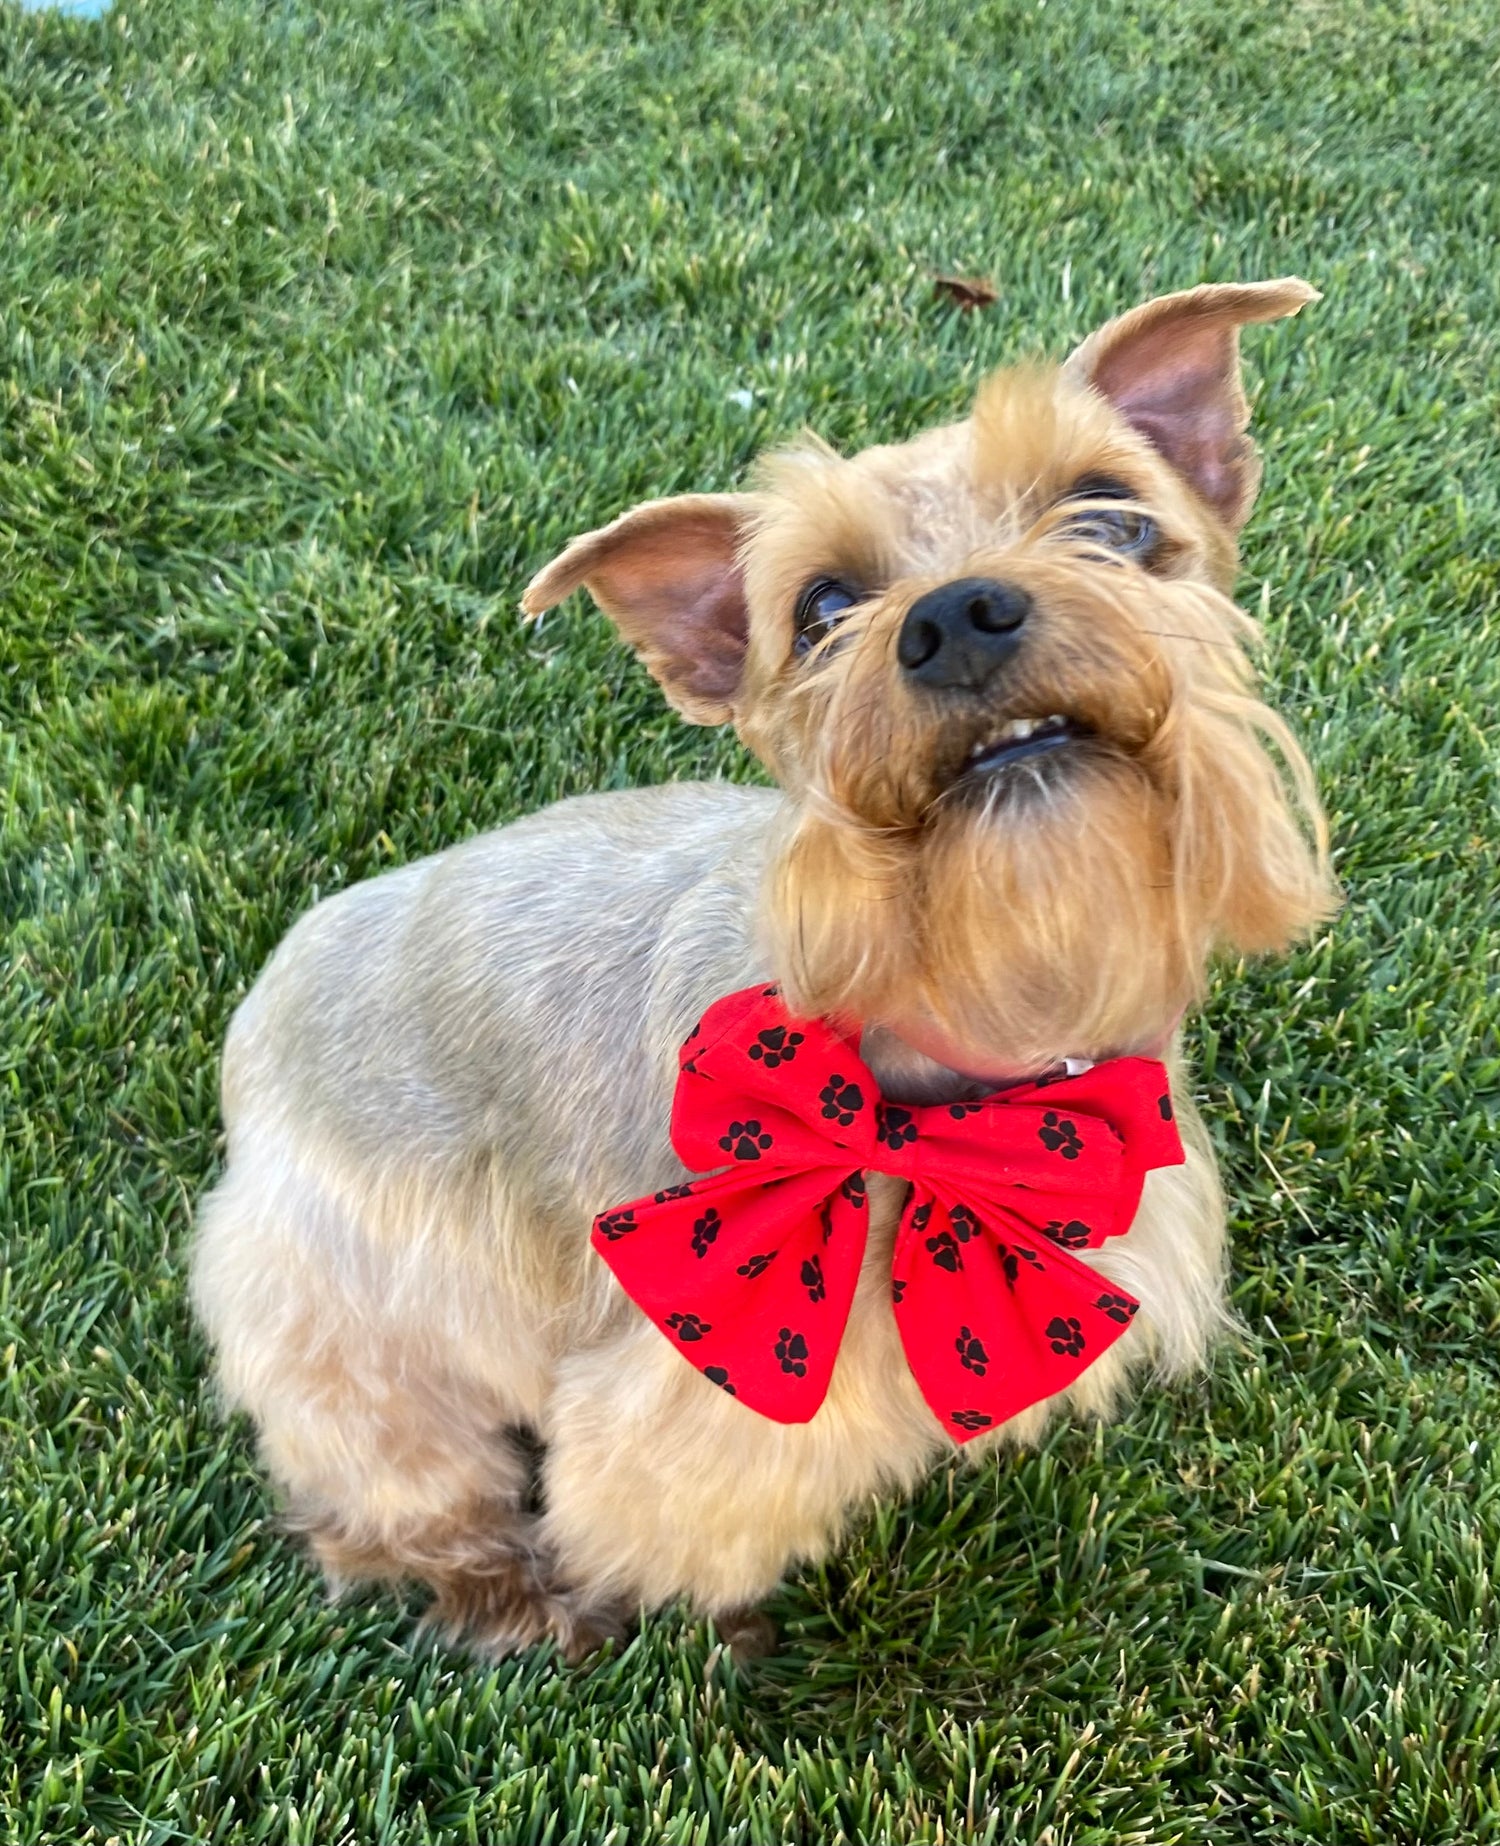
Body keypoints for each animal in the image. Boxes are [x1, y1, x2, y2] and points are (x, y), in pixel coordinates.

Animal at [190, 280, 1335, 1668]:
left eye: (1113, 514)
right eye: (822, 608)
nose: (958, 616)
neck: (967, 1020)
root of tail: (252, 1031)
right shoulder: (701, 1380)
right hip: (350, 1323)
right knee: (384, 1491)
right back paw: (500, 1591)